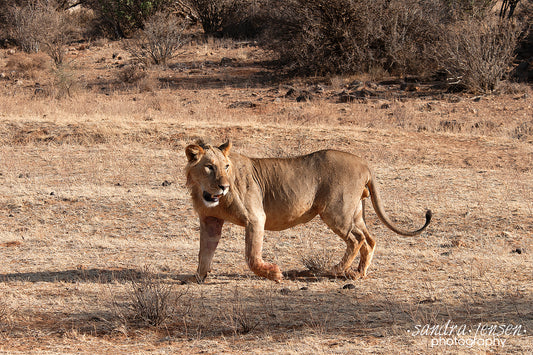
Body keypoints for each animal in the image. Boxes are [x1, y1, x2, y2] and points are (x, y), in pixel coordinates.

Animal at [185, 140, 430, 282]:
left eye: (226, 167)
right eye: (209, 167)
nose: (224, 186)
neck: (208, 195)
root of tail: (363, 162)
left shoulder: (256, 217)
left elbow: (251, 256)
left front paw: (275, 274)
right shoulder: (210, 220)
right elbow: (204, 251)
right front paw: (198, 276)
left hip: (336, 211)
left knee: (356, 239)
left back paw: (335, 270)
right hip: (355, 212)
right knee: (369, 239)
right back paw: (358, 273)